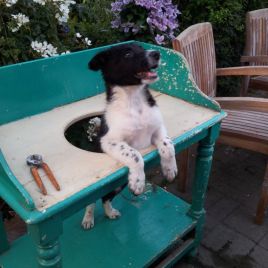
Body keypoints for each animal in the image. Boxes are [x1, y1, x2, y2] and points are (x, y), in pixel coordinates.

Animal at [81, 43, 178, 228]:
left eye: (142, 47)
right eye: (127, 54)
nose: (156, 54)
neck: (135, 101)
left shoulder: (157, 128)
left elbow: (168, 145)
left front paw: (170, 169)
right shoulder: (109, 140)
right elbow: (134, 155)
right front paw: (138, 182)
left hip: (119, 185)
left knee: (105, 198)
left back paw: (110, 212)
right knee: (91, 201)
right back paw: (88, 218)